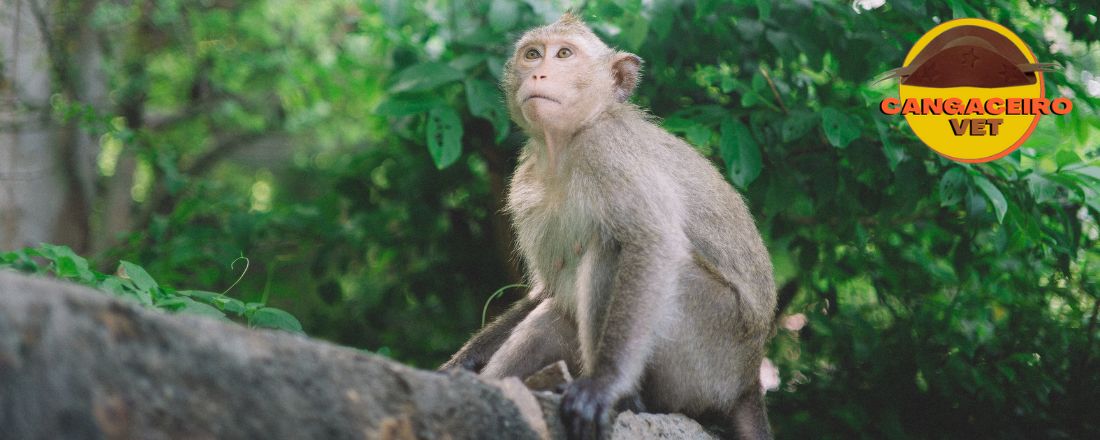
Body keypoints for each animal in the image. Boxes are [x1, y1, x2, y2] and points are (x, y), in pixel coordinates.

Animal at [442, 13, 778, 440]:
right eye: (533, 54)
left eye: (564, 54)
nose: (538, 73)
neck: (566, 146)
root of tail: (749, 380)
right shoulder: (525, 184)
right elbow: (546, 289)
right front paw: (461, 365)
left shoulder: (607, 150)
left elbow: (651, 243)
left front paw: (603, 386)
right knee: (554, 313)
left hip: (710, 351)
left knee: (610, 252)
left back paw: (626, 399)